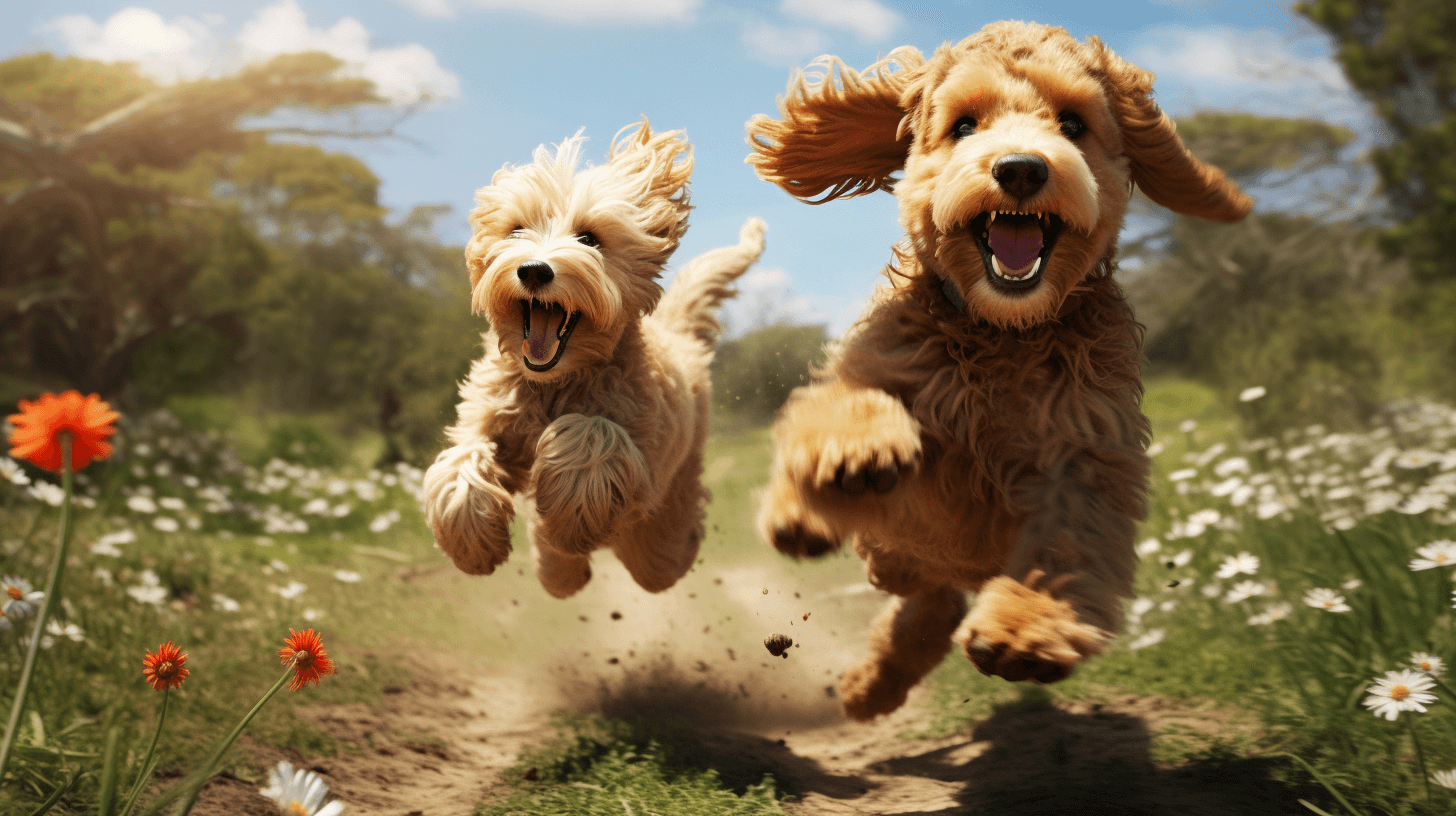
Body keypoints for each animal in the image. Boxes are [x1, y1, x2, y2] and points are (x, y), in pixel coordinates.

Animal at [422, 119, 762, 591]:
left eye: (589, 239)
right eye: (515, 230)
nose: (534, 270)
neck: (554, 382)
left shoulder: (639, 444)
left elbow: (592, 433)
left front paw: (568, 517)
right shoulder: (484, 411)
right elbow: (461, 459)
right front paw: (473, 544)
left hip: (668, 509)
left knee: (661, 549)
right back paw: (557, 564)